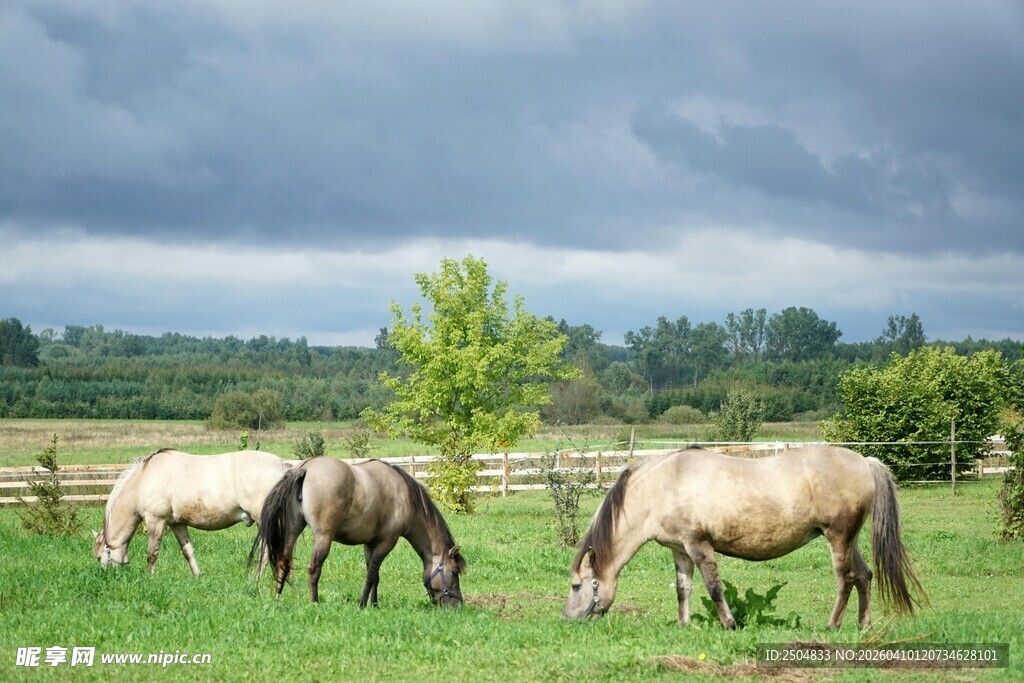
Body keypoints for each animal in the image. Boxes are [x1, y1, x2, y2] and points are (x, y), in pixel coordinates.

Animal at [92, 448, 294, 577]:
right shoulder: (178, 524)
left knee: (265, 551)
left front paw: (149, 577)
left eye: (100, 556)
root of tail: (281, 464)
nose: (106, 578)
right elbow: (188, 551)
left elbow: (152, 553)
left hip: (263, 520)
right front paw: (197, 575)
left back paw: (255, 579)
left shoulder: (156, 521)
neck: (144, 480)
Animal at [252, 456, 466, 608]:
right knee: (313, 568)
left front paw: (375, 604)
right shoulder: (387, 542)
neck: (405, 496)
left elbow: (375, 575)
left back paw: (277, 599)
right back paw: (314, 603)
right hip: (323, 537)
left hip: (293, 530)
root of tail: (306, 468)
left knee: (283, 562)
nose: (457, 606)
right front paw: (362, 604)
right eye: (455, 572)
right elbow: (371, 575)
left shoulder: (370, 544)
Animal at [562, 446, 924, 630]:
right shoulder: (680, 550)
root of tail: (865, 460)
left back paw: (832, 626)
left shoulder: (699, 545)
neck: (664, 485)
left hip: (837, 539)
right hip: (850, 539)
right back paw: (863, 625)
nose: (568, 619)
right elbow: (683, 589)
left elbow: (713, 587)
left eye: (576, 586)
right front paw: (683, 625)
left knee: (845, 580)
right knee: (864, 575)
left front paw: (730, 624)